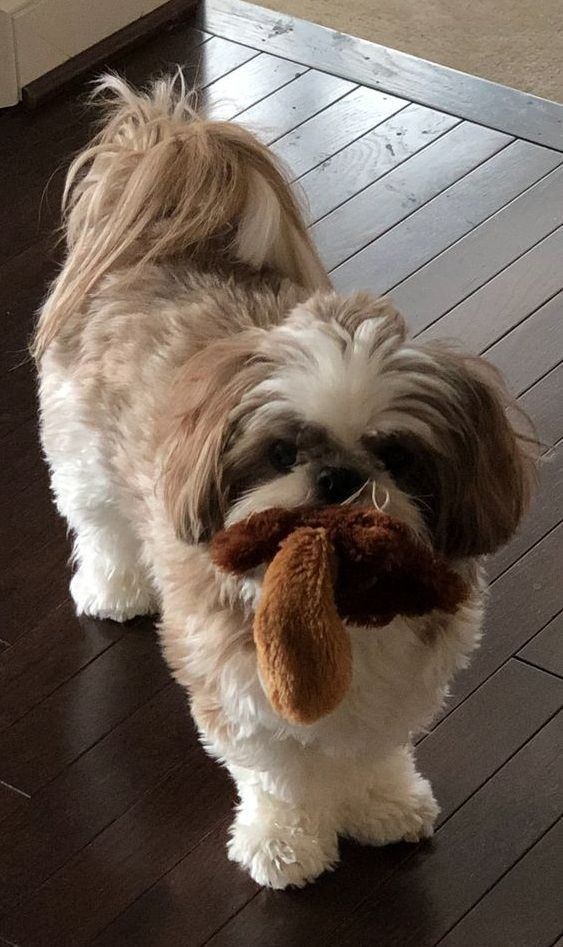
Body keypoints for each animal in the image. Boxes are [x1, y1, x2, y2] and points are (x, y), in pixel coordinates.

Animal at [35, 72, 536, 888]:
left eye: (396, 457)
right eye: (280, 453)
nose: (337, 478)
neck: (340, 604)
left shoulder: (401, 679)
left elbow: (372, 749)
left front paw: (382, 803)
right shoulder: (242, 686)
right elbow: (280, 774)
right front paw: (286, 842)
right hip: (83, 453)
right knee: (101, 526)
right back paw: (116, 589)